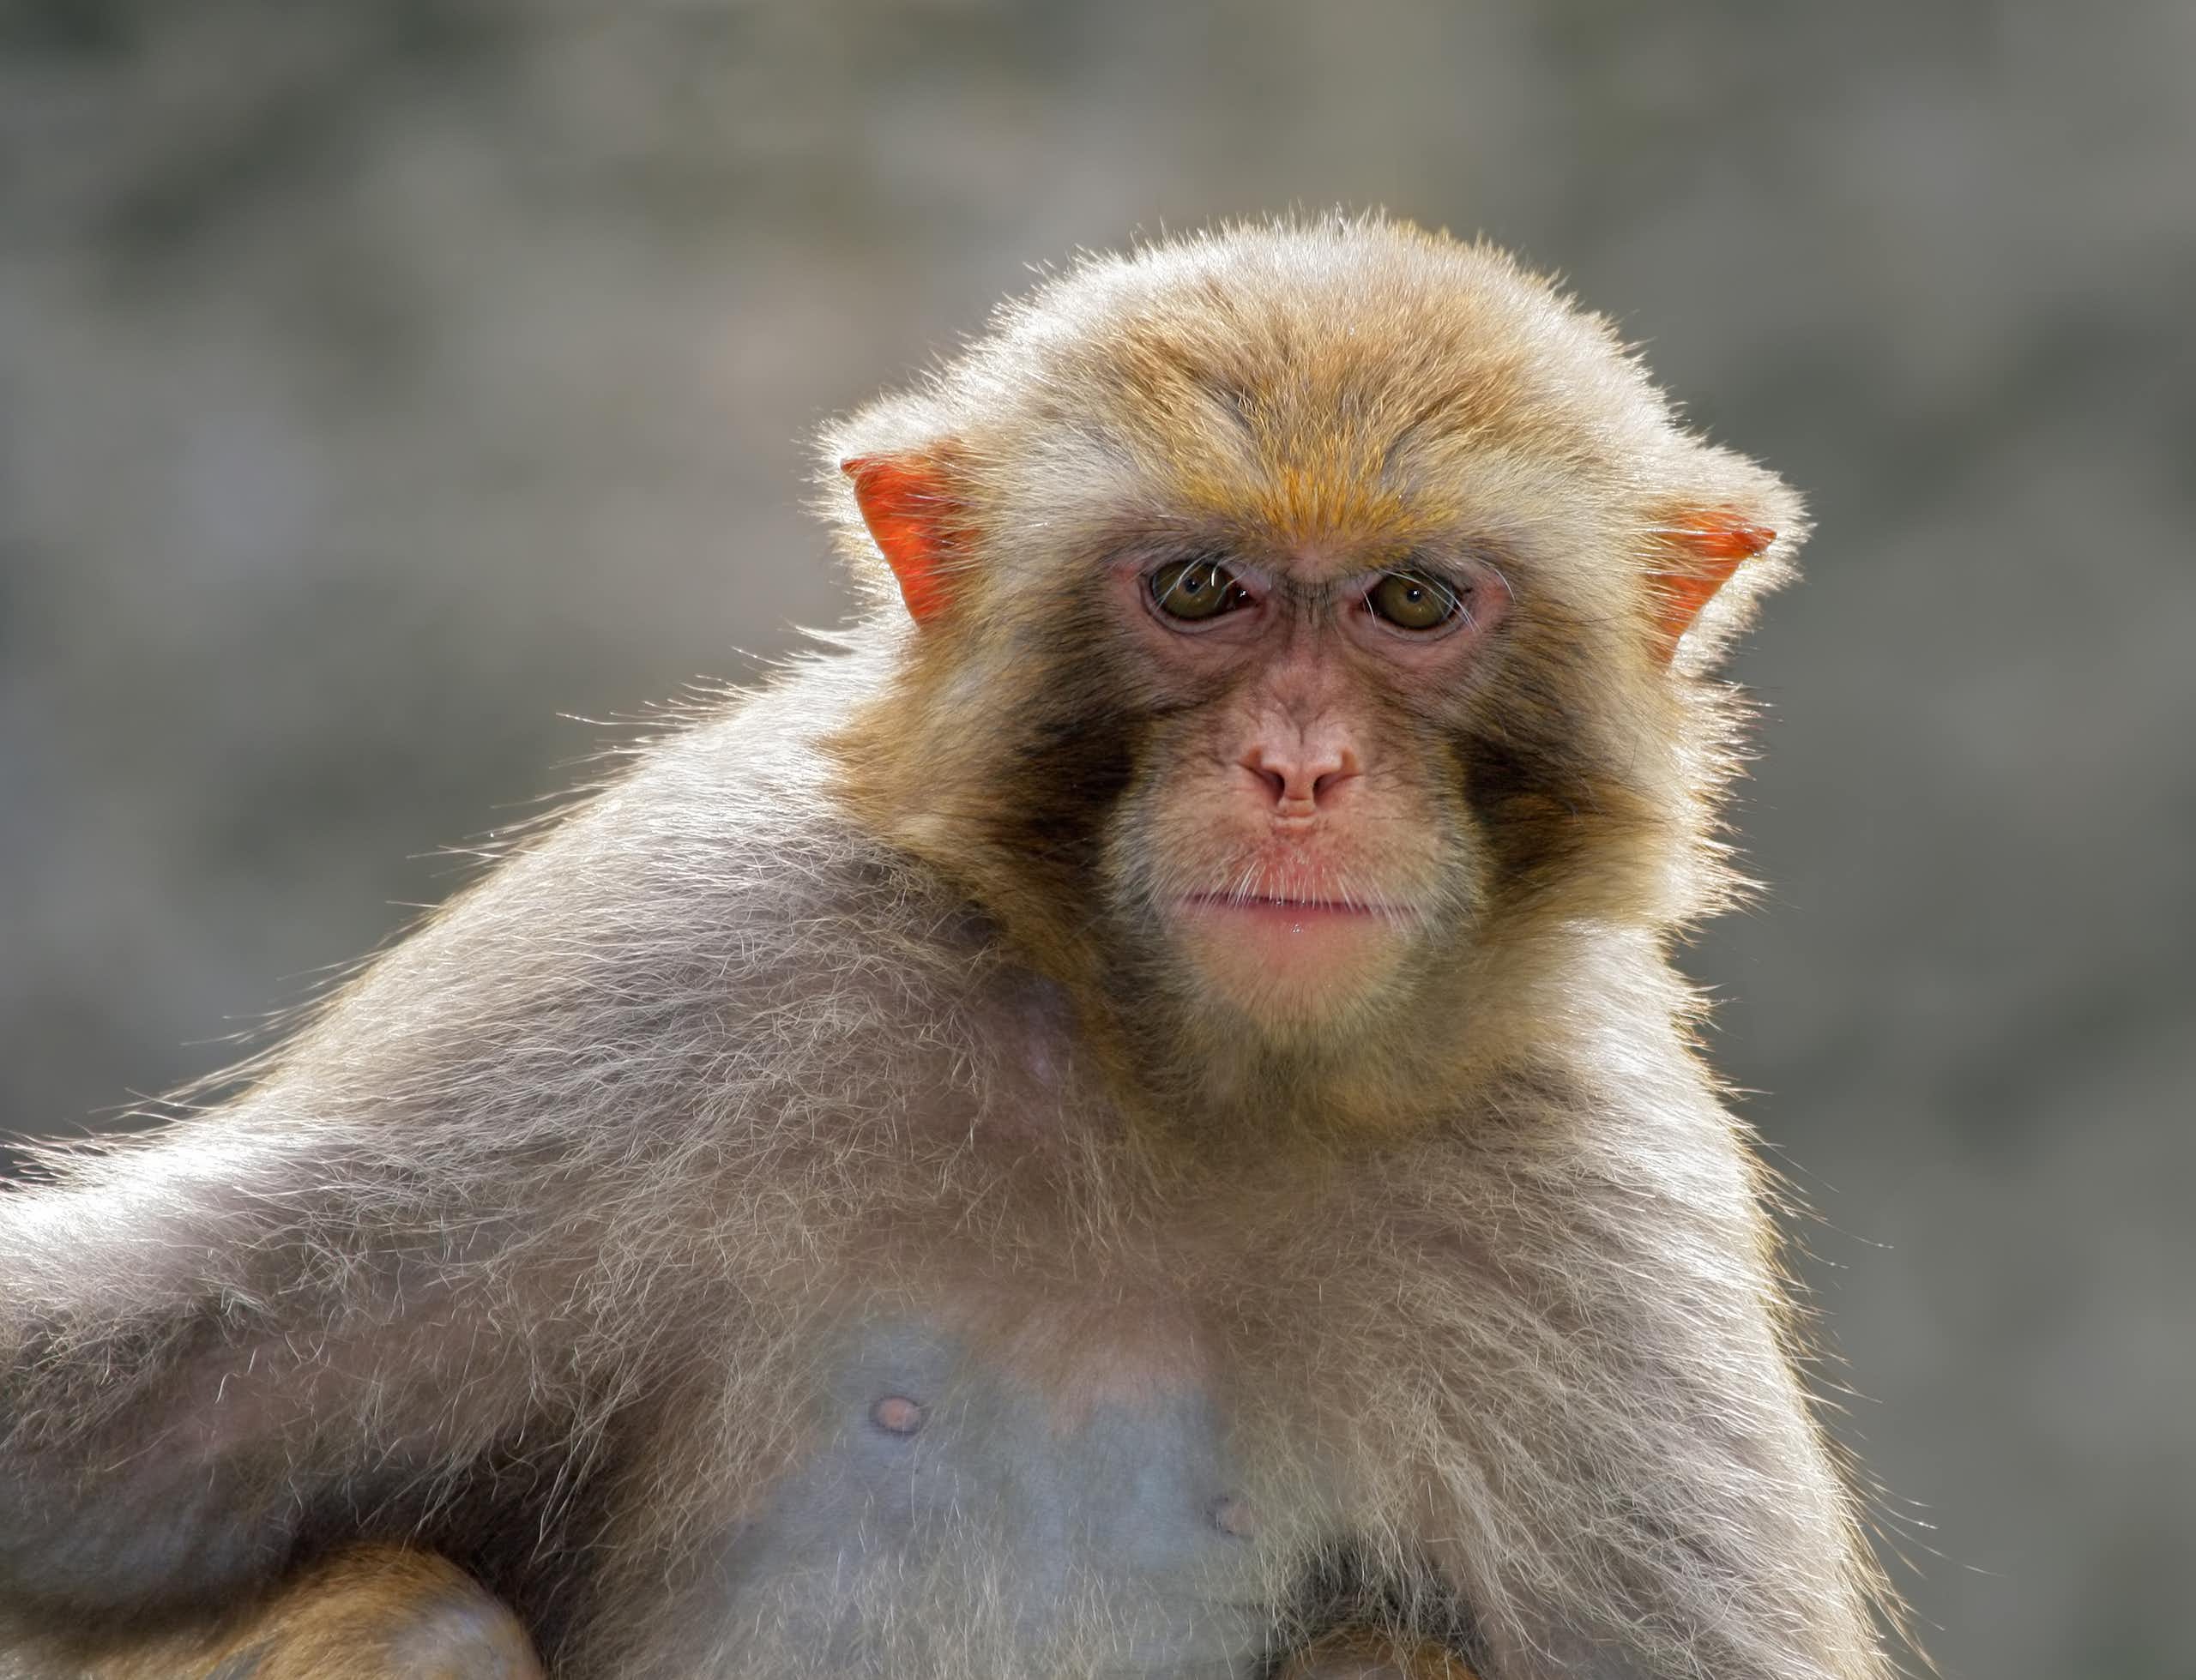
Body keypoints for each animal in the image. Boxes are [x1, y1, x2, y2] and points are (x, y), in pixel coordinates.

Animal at [0, 214, 1896, 1680]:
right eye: (1197, 589)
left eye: (1413, 602)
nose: (1299, 768)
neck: (1183, 1091)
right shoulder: (682, 970)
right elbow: (106, 1434)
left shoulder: (1594, 1204)